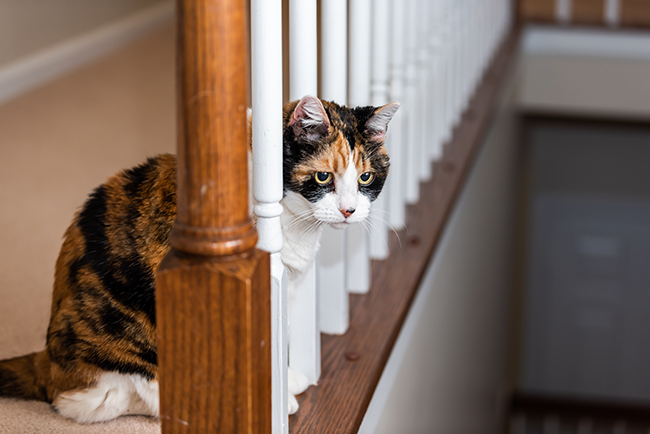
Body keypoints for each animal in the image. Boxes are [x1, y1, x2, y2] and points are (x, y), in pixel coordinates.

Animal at [0, 94, 394, 420]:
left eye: (365, 178)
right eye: (323, 176)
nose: (348, 210)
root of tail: (47, 363)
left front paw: (285, 379)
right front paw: (274, 400)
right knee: (120, 396)